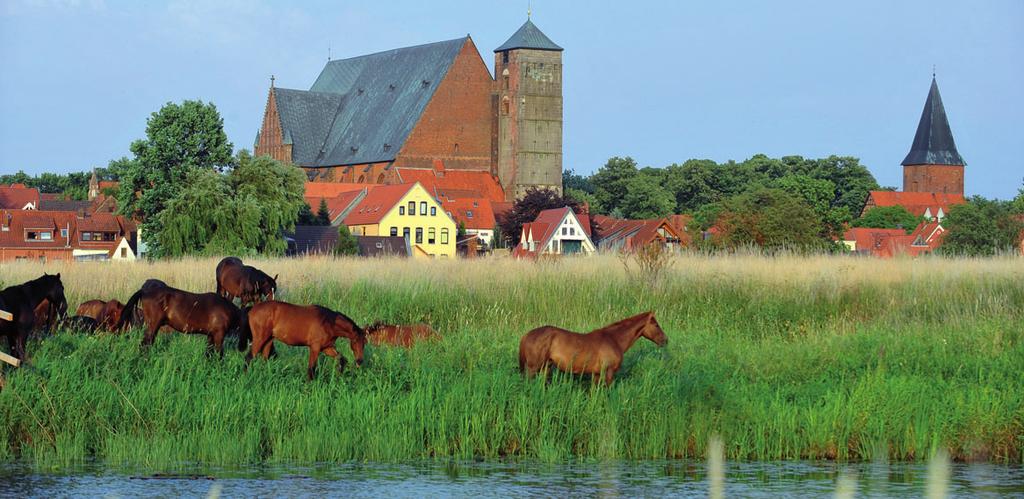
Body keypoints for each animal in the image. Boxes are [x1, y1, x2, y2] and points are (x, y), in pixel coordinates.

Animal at [115, 282, 247, 356]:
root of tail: (145, 291)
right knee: (144, 345)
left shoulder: (210, 335)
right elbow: (219, 355)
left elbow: (208, 354)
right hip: (153, 326)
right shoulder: (219, 335)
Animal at [516, 311, 667, 387]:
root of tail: (526, 334)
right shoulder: (609, 373)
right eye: (656, 325)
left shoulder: (597, 374)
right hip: (533, 368)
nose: (665, 340)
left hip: (546, 367)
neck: (613, 339)